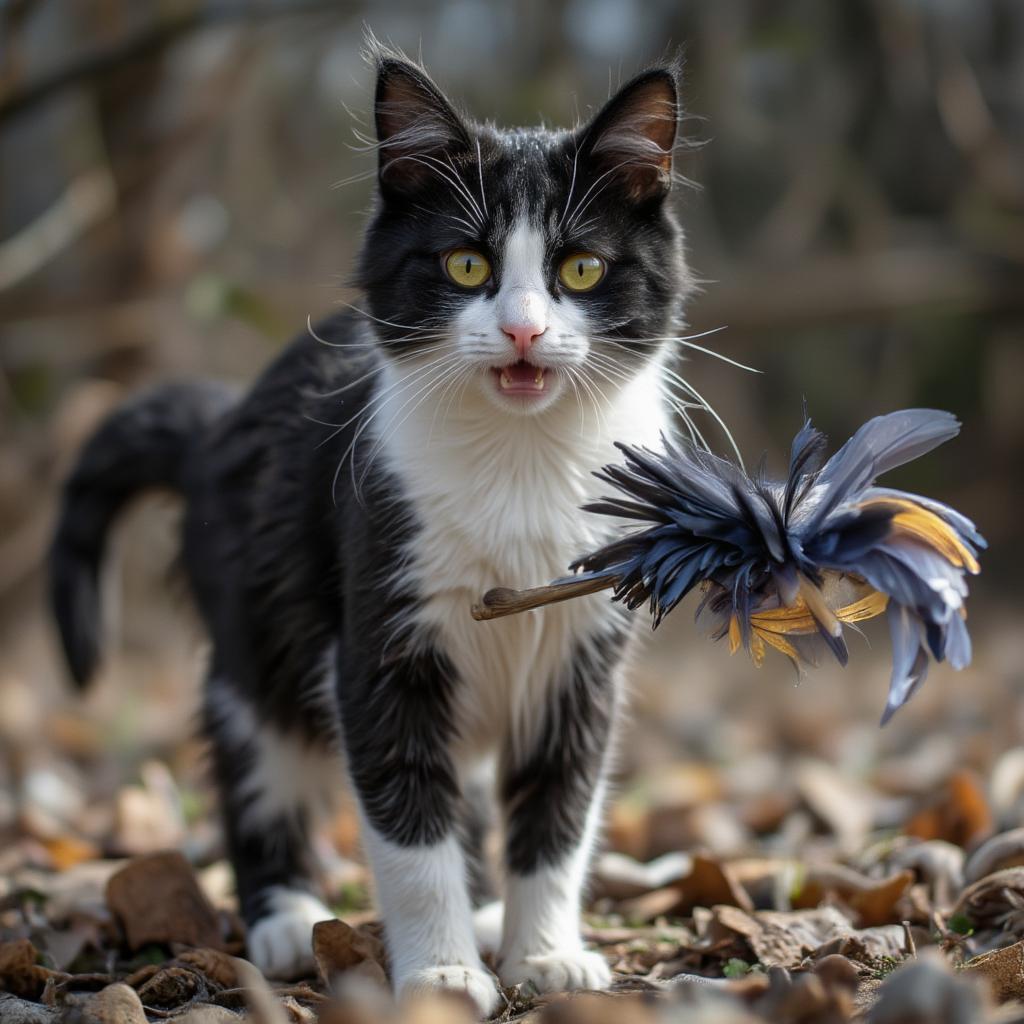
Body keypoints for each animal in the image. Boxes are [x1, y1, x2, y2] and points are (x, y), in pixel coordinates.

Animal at [48, 41, 688, 1015]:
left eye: (582, 269)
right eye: (465, 266)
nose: (523, 332)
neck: (521, 461)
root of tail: (217, 424)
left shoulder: (583, 656)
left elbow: (560, 807)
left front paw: (544, 953)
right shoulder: (379, 625)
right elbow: (406, 816)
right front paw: (441, 973)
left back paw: (489, 913)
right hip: (255, 637)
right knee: (259, 759)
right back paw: (283, 920)